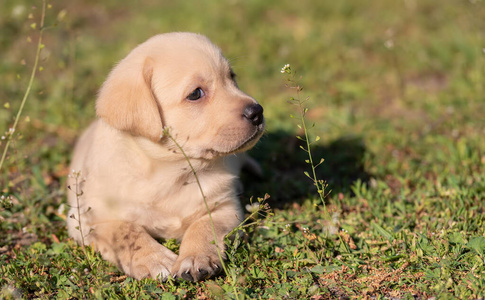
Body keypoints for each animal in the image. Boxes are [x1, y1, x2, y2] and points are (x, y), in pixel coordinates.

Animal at [66, 32, 262, 282]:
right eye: (196, 94)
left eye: (232, 77)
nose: (258, 112)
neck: (172, 172)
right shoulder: (86, 220)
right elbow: (126, 231)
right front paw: (155, 259)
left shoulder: (226, 207)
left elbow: (204, 227)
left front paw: (195, 258)